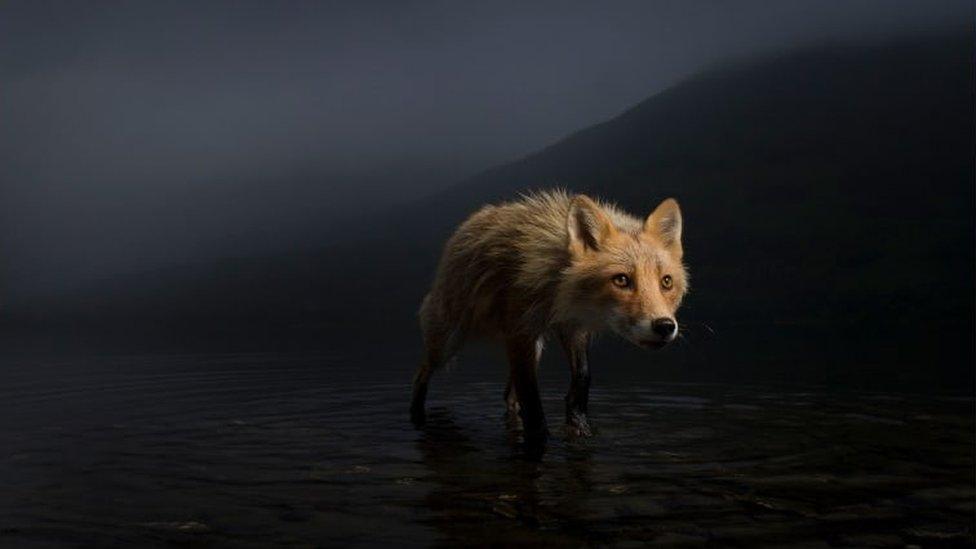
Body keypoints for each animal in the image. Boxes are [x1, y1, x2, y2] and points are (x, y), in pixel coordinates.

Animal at [412, 191, 688, 444]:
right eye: (621, 280)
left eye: (666, 282)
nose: (665, 326)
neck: (558, 289)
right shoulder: (520, 330)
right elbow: (532, 400)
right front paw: (540, 437)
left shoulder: (572, 327)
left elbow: (582, 377)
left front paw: (579, 425)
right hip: (448, 342)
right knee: (422, 372)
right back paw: (416, 417)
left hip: (533, 349)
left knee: (509, 395)